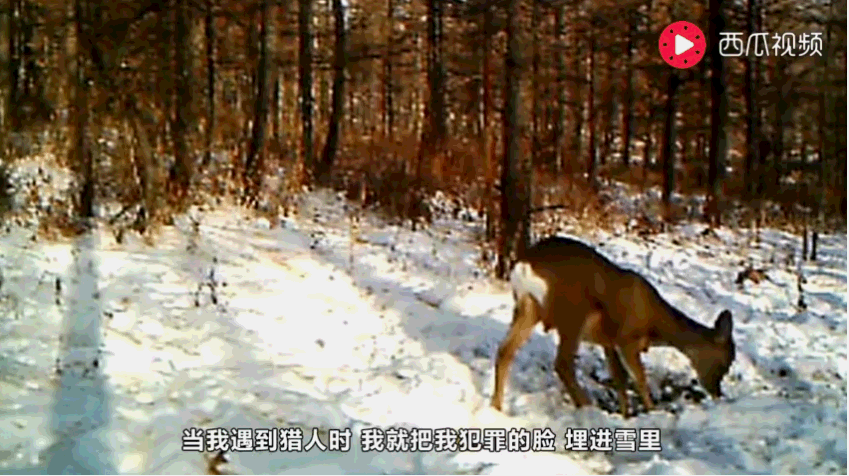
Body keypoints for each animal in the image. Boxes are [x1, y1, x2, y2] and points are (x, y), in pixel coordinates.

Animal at [491, 236, 736, 418]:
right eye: (725, 362)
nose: (717, 392)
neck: (655, 323)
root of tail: (525, 264)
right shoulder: (626, 338)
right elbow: (640, 379)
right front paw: (652, 412)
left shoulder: (608, 341)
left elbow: (619, 379)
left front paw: (626, 416)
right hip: (573, 313)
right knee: (563, 363)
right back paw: (587, 407)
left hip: (527, 308)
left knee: (504, 351)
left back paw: (497, 407)